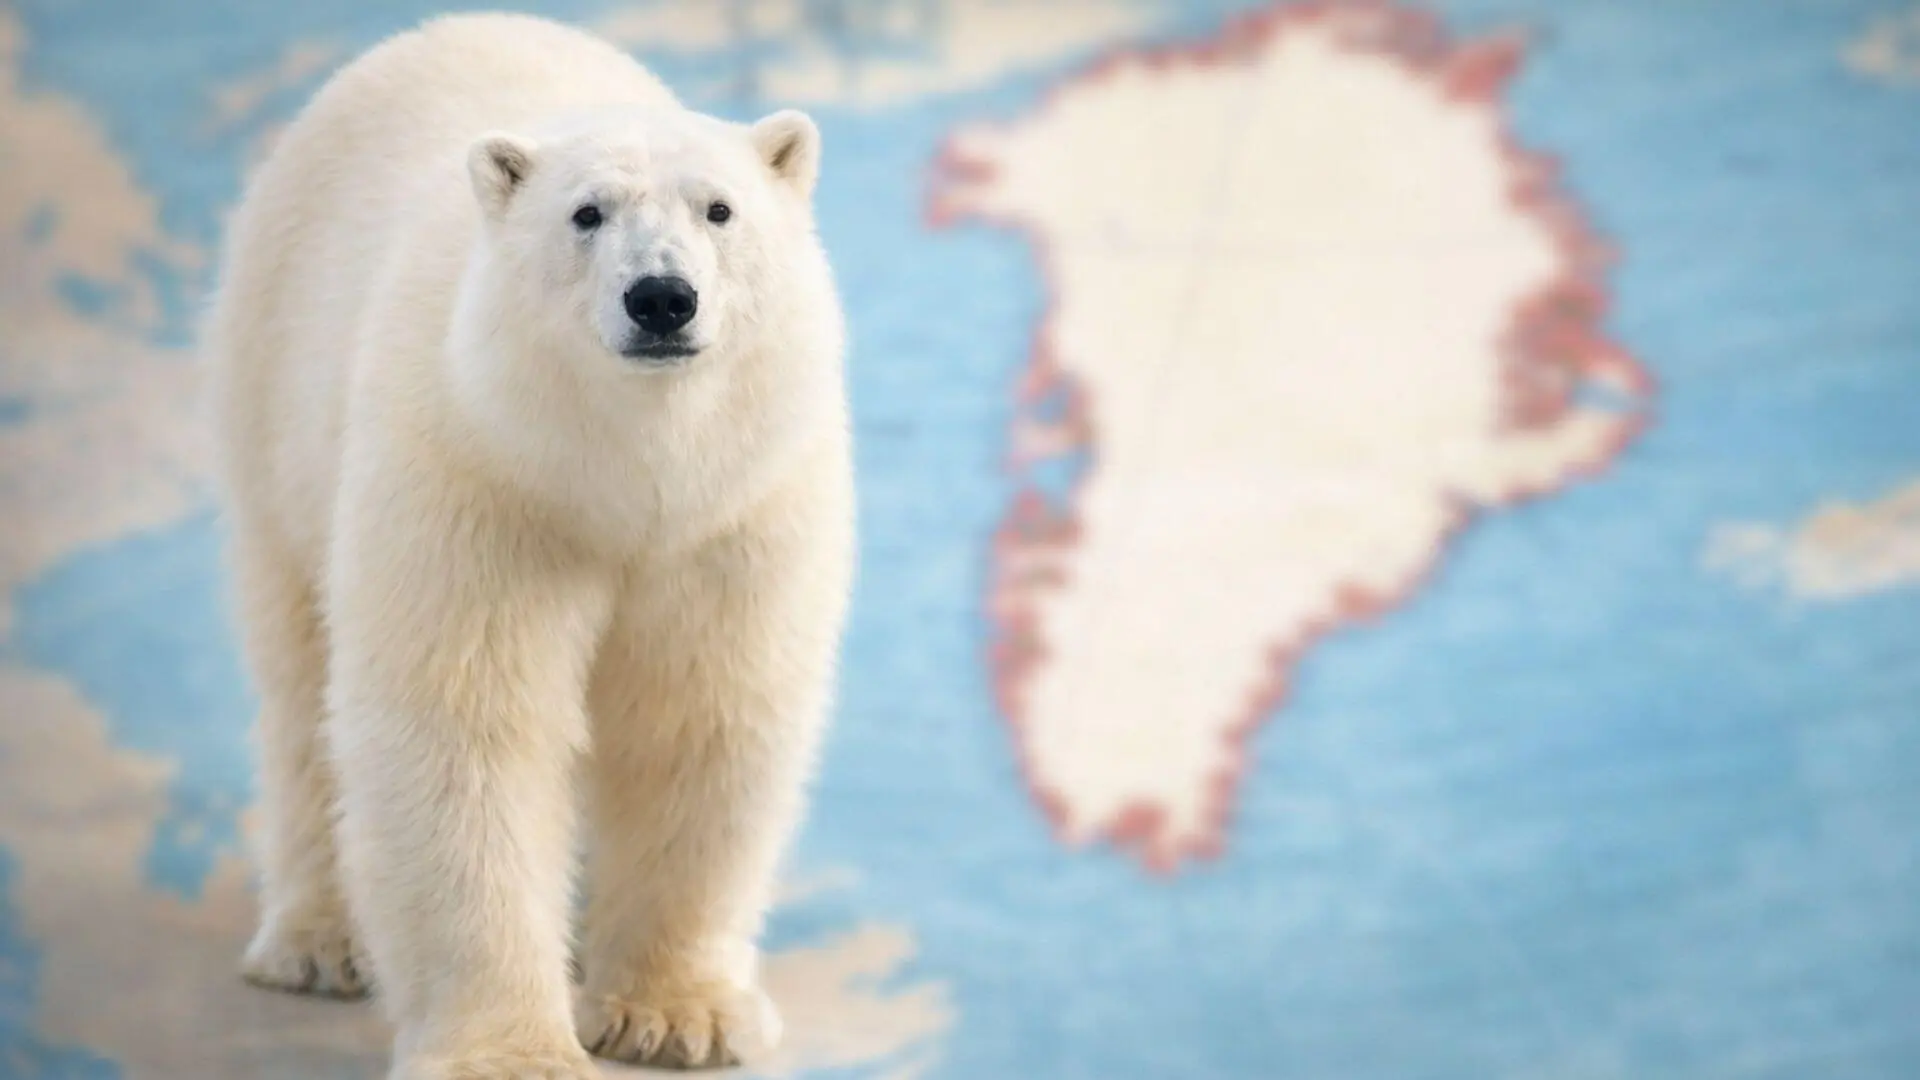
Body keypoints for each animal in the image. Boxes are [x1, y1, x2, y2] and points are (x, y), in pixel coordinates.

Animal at [202, 13, 853, 1078]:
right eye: (586, 214)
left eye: (720, 209)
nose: (661, 298)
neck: (621, 477)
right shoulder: (483, 486)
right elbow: (465, 730)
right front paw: (509, 1050)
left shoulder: (732, 516)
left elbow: (696, 715)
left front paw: (677, 1016)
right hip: (272, 398)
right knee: (302, 684)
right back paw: (318, 943)